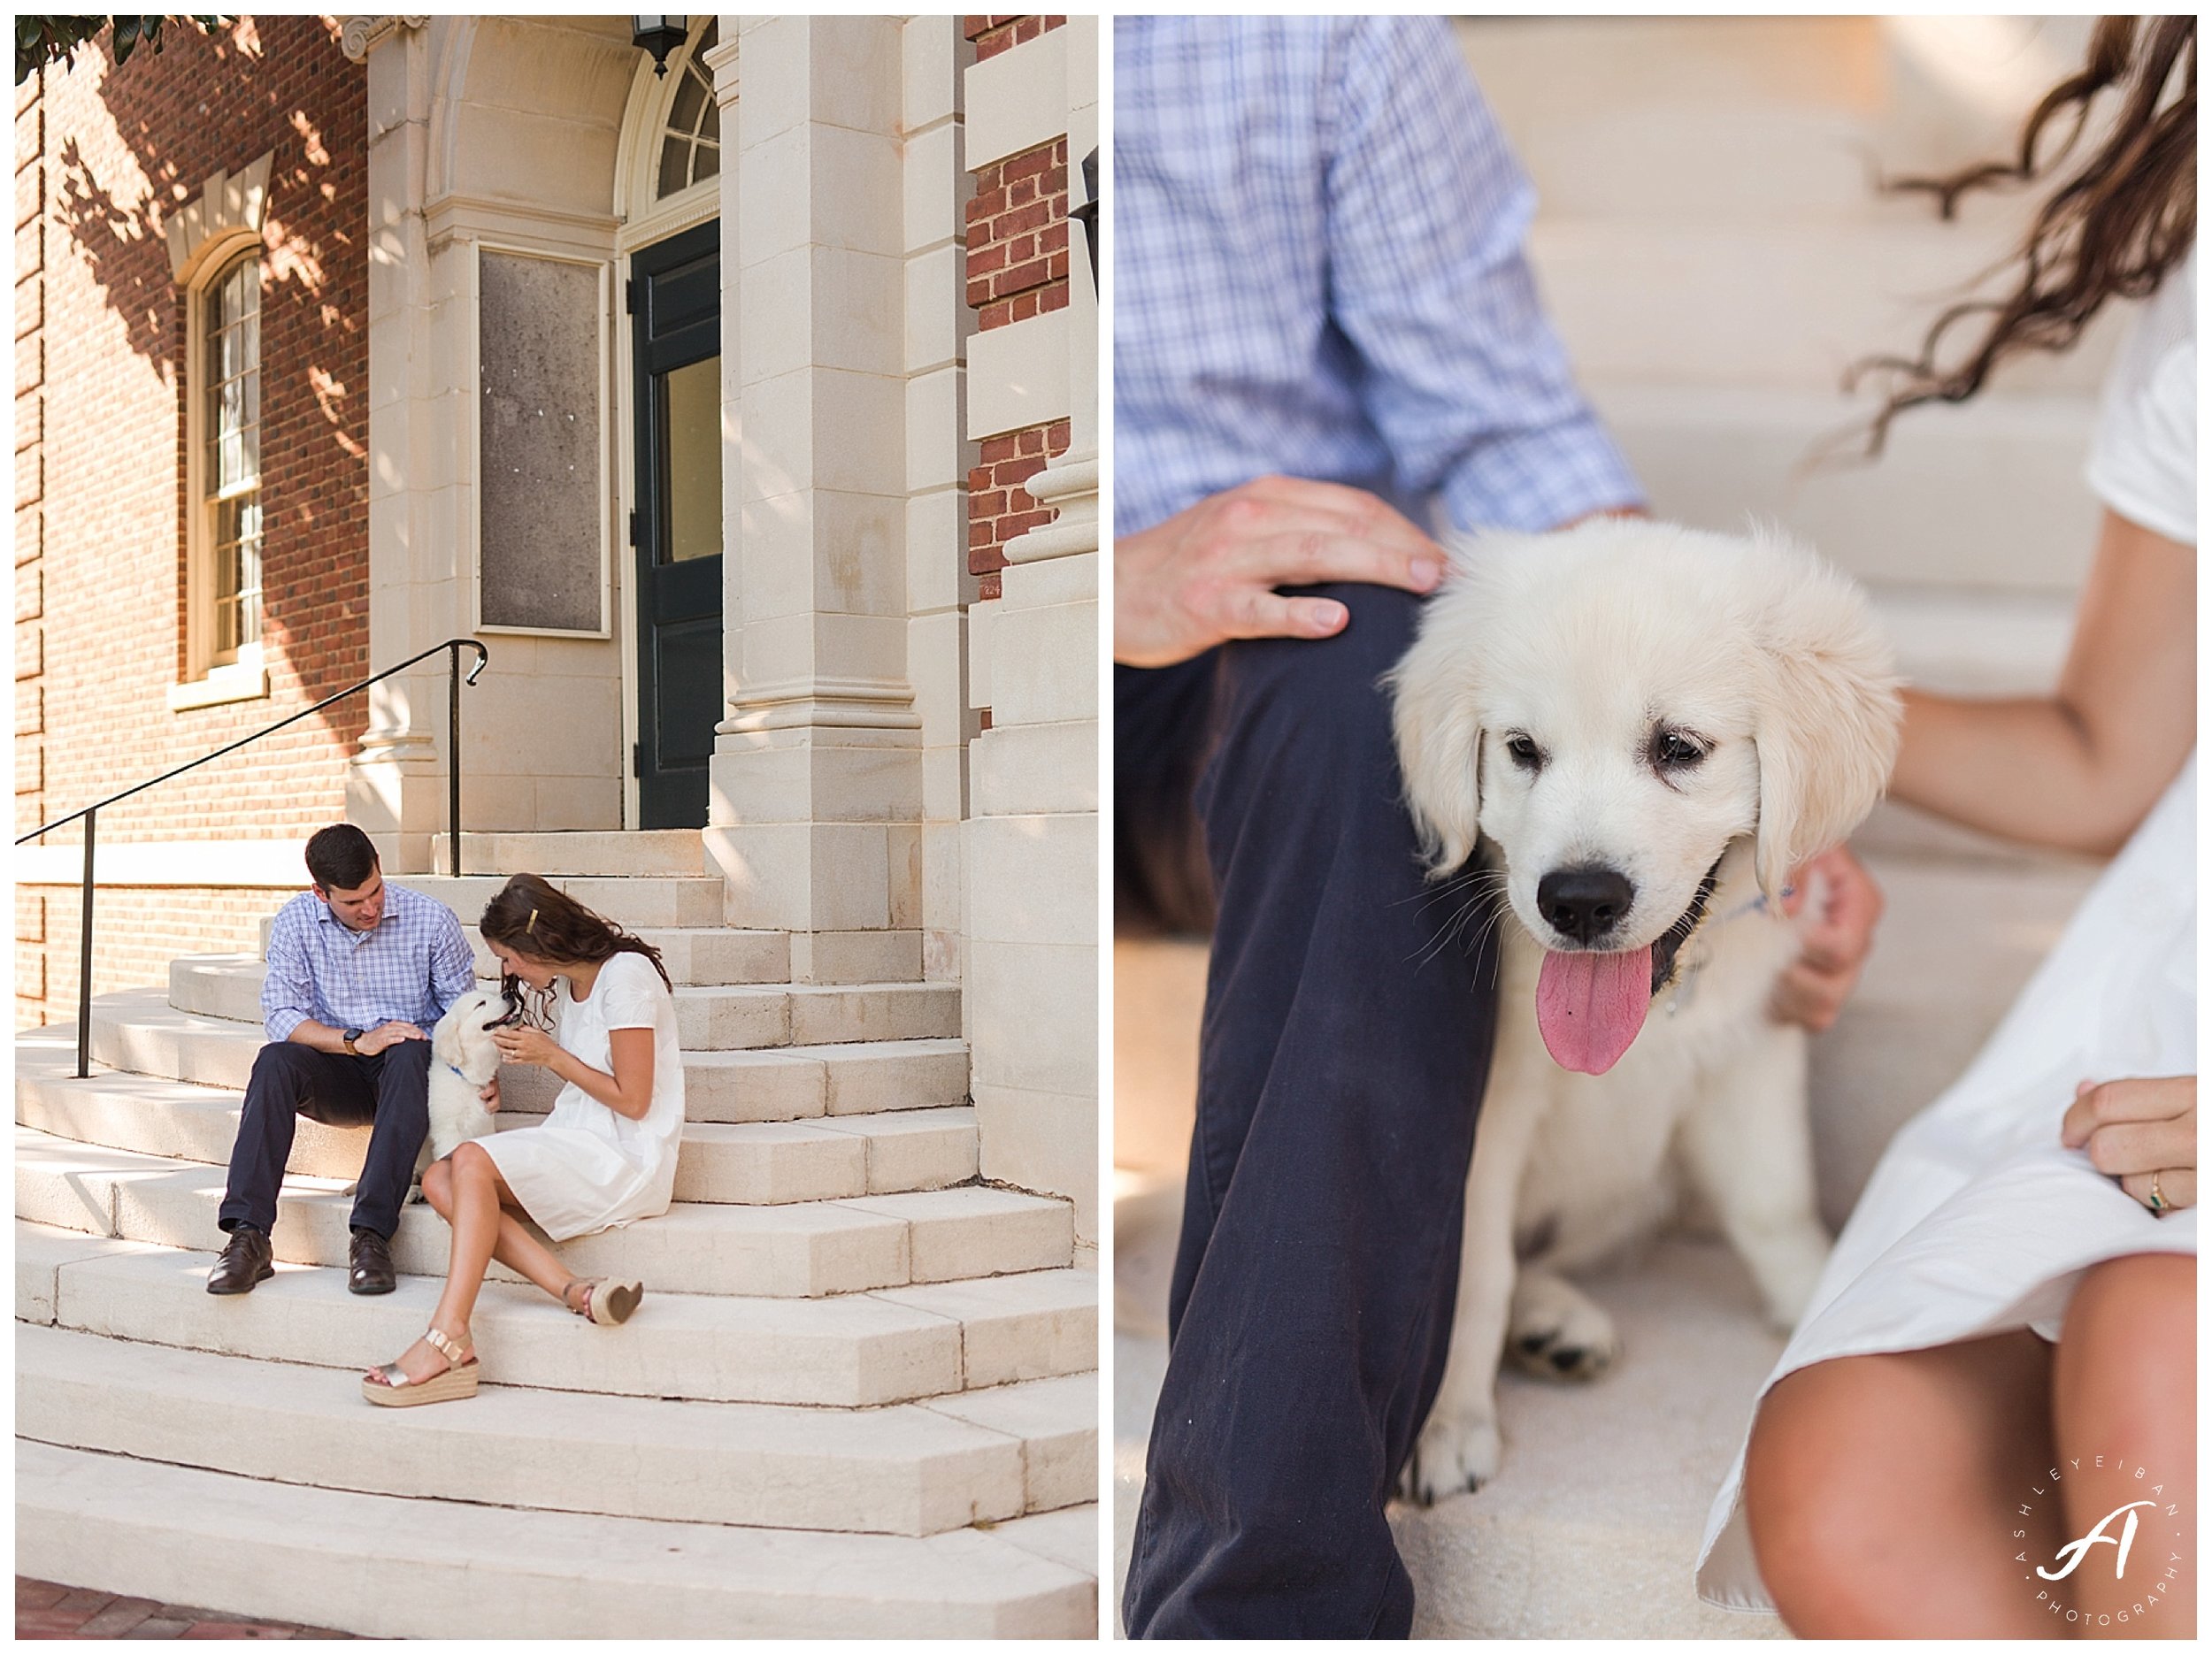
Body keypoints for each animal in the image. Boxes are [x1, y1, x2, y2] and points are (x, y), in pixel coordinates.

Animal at [1389, 524, 1893, 1504]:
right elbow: (1471, 1269)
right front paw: (1449, 1422)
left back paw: (1556, 1321)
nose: (1579, 900)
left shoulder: (1751, 1051)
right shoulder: (1485, 1109)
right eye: (1522, 748)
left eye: (1678, 747)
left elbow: (1776, 1202)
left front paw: (1829, 1308)